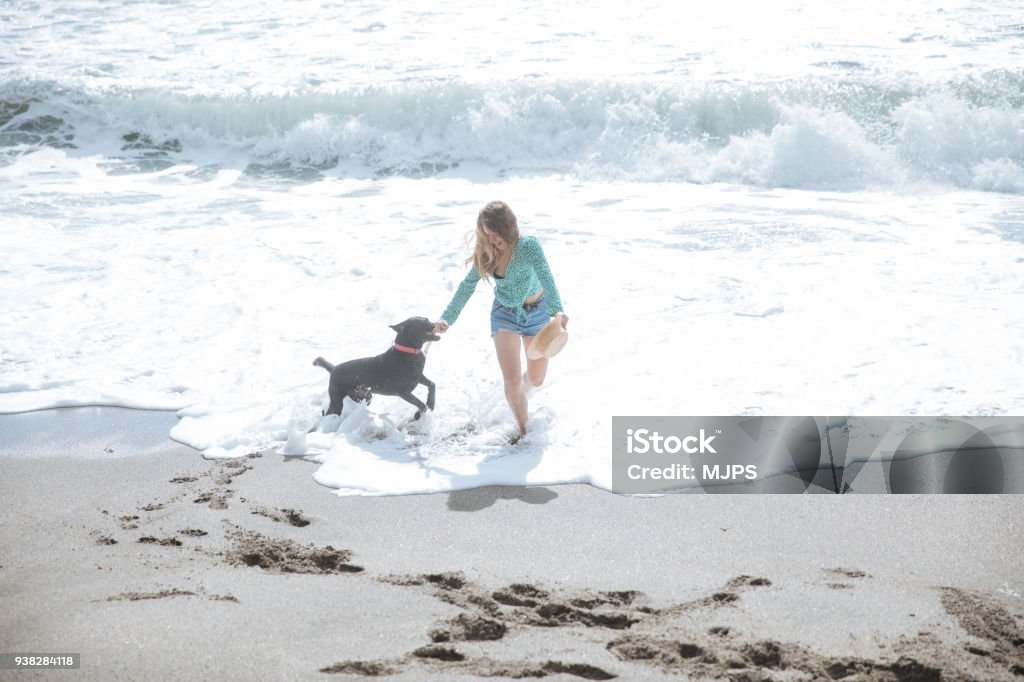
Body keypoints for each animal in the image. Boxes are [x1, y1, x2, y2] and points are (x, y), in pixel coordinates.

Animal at [311, 315, 440, 417]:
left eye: (427, 319)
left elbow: (432, 384)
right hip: (337, 399)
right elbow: (420, 404)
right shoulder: (402, 392)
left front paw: (431, 403)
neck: (408, 352)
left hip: (364, 396)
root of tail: (333, 369)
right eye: (422, 323)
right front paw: (418, 414)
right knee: (329, 413)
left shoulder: (418, 377)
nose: (434, 325)